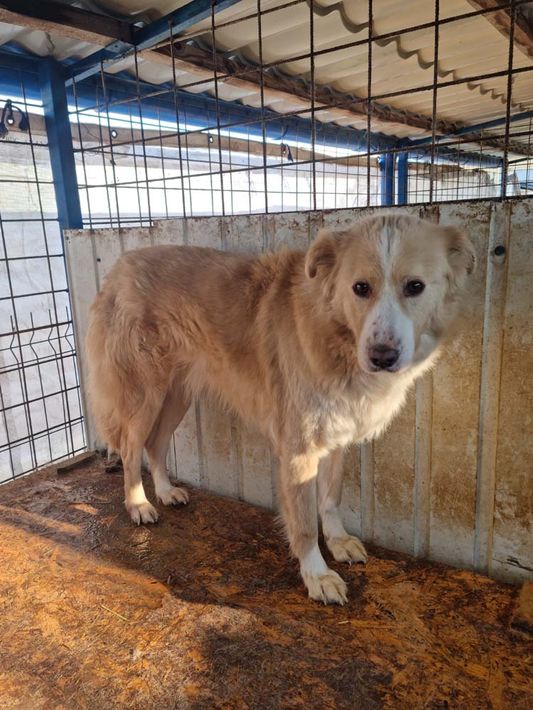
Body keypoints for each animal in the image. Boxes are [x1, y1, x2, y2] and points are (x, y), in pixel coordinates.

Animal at [86, 213, 475, 604]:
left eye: (415, 286)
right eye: (361, 288)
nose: (382, 356)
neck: (334, 334)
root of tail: (119, 266)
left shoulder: (336, 436)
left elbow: (330, 498)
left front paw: (337, 541)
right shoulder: (299, 449)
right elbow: (303, 523)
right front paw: (317, 575)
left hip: (177, 394)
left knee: (156, 443)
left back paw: (166, 491)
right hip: (144, 394)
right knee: (131, 448)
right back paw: (138, 503)